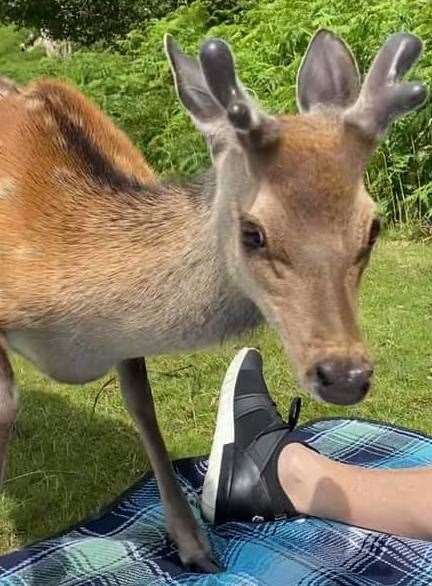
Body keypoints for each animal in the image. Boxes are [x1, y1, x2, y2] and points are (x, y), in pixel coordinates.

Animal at [0, 29, 426, 568]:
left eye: (373, 226)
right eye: (253, 232)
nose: (344, 375)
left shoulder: (126, 343)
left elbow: (142, 405)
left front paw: (194, 545)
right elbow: (6, 404)